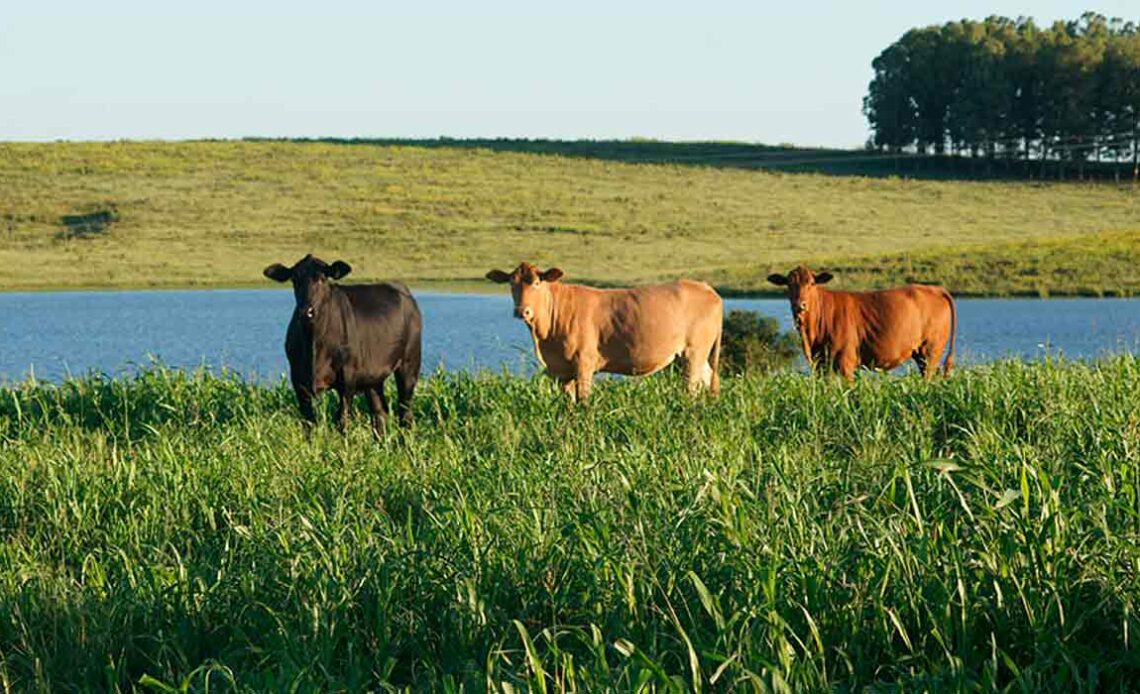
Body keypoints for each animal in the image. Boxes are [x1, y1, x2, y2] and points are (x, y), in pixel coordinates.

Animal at [263, 254, 424, 433]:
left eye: (322, 278)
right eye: (294, 279)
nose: (306, 311)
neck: (314, 343)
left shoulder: (348, 378)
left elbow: (341, 419)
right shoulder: (298, 380)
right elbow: (309, 422)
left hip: (410, 363)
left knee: (405, 410)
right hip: (373, 377)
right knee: (380, 411)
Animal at [770, 265, 957, 380]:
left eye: (811, 283)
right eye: (788, 284)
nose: (799, 305)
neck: (811, 336)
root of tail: (934, 288)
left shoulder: (846, 363)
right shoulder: (821, 365)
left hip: (930, 350)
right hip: (920, 353)